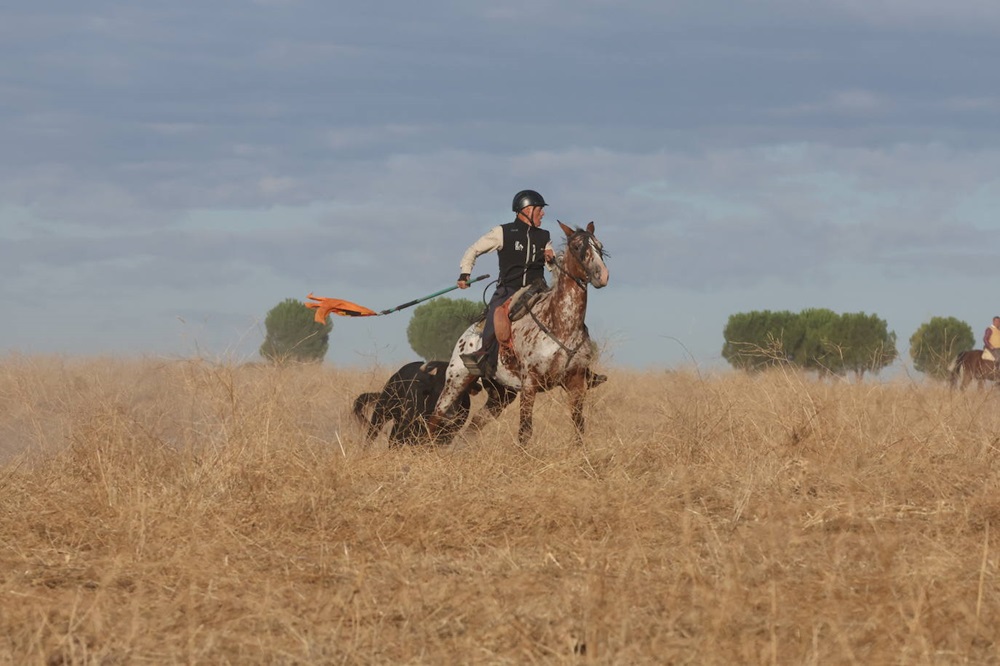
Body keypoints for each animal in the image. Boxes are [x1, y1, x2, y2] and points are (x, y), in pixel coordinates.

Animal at [430, 220, 608, 444]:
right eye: (577, 247)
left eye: (600, 246)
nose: (602, 276)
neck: (562, 324)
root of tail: (467, 335)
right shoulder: (530, 384)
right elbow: (525, 431)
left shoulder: (575, 383)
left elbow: (578, 428)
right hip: (456, 382)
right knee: (435, 419)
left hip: (501, 394)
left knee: (474, 425)